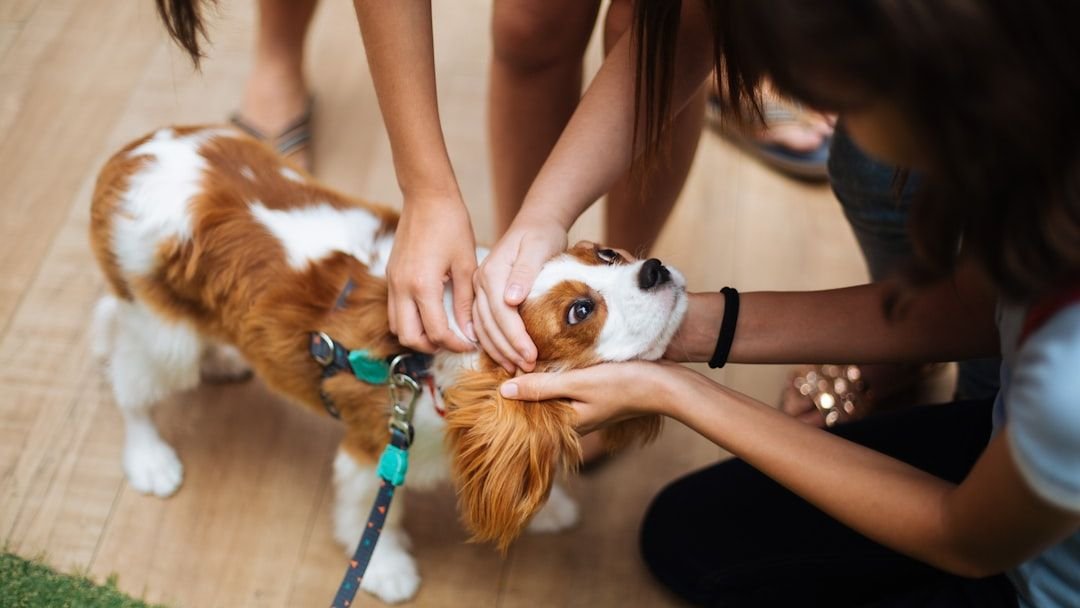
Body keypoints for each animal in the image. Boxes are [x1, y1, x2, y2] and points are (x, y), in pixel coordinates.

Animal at [89, 126, 688, 603]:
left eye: (608, 254)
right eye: (579, 311)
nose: (654, 269)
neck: (428, 365)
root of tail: (132, 154)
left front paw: (550, 507)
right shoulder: (374, 448)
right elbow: (374, 513)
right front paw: (387, 568)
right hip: (164, 335)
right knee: (129, 379)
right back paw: (149, 458)